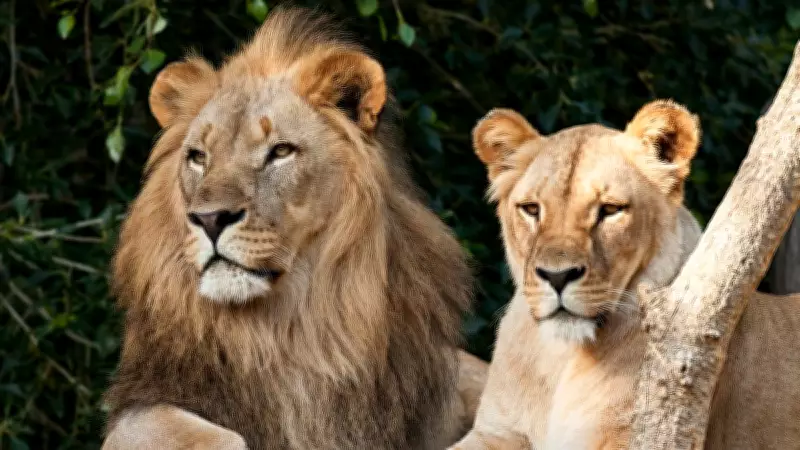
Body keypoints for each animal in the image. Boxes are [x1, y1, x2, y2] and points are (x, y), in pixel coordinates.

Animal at [100, 7, 488, 450]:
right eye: (198, 157)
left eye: (280, 151)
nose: (209, 218)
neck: (287, 333)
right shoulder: (143, 405)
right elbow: (211, 436)